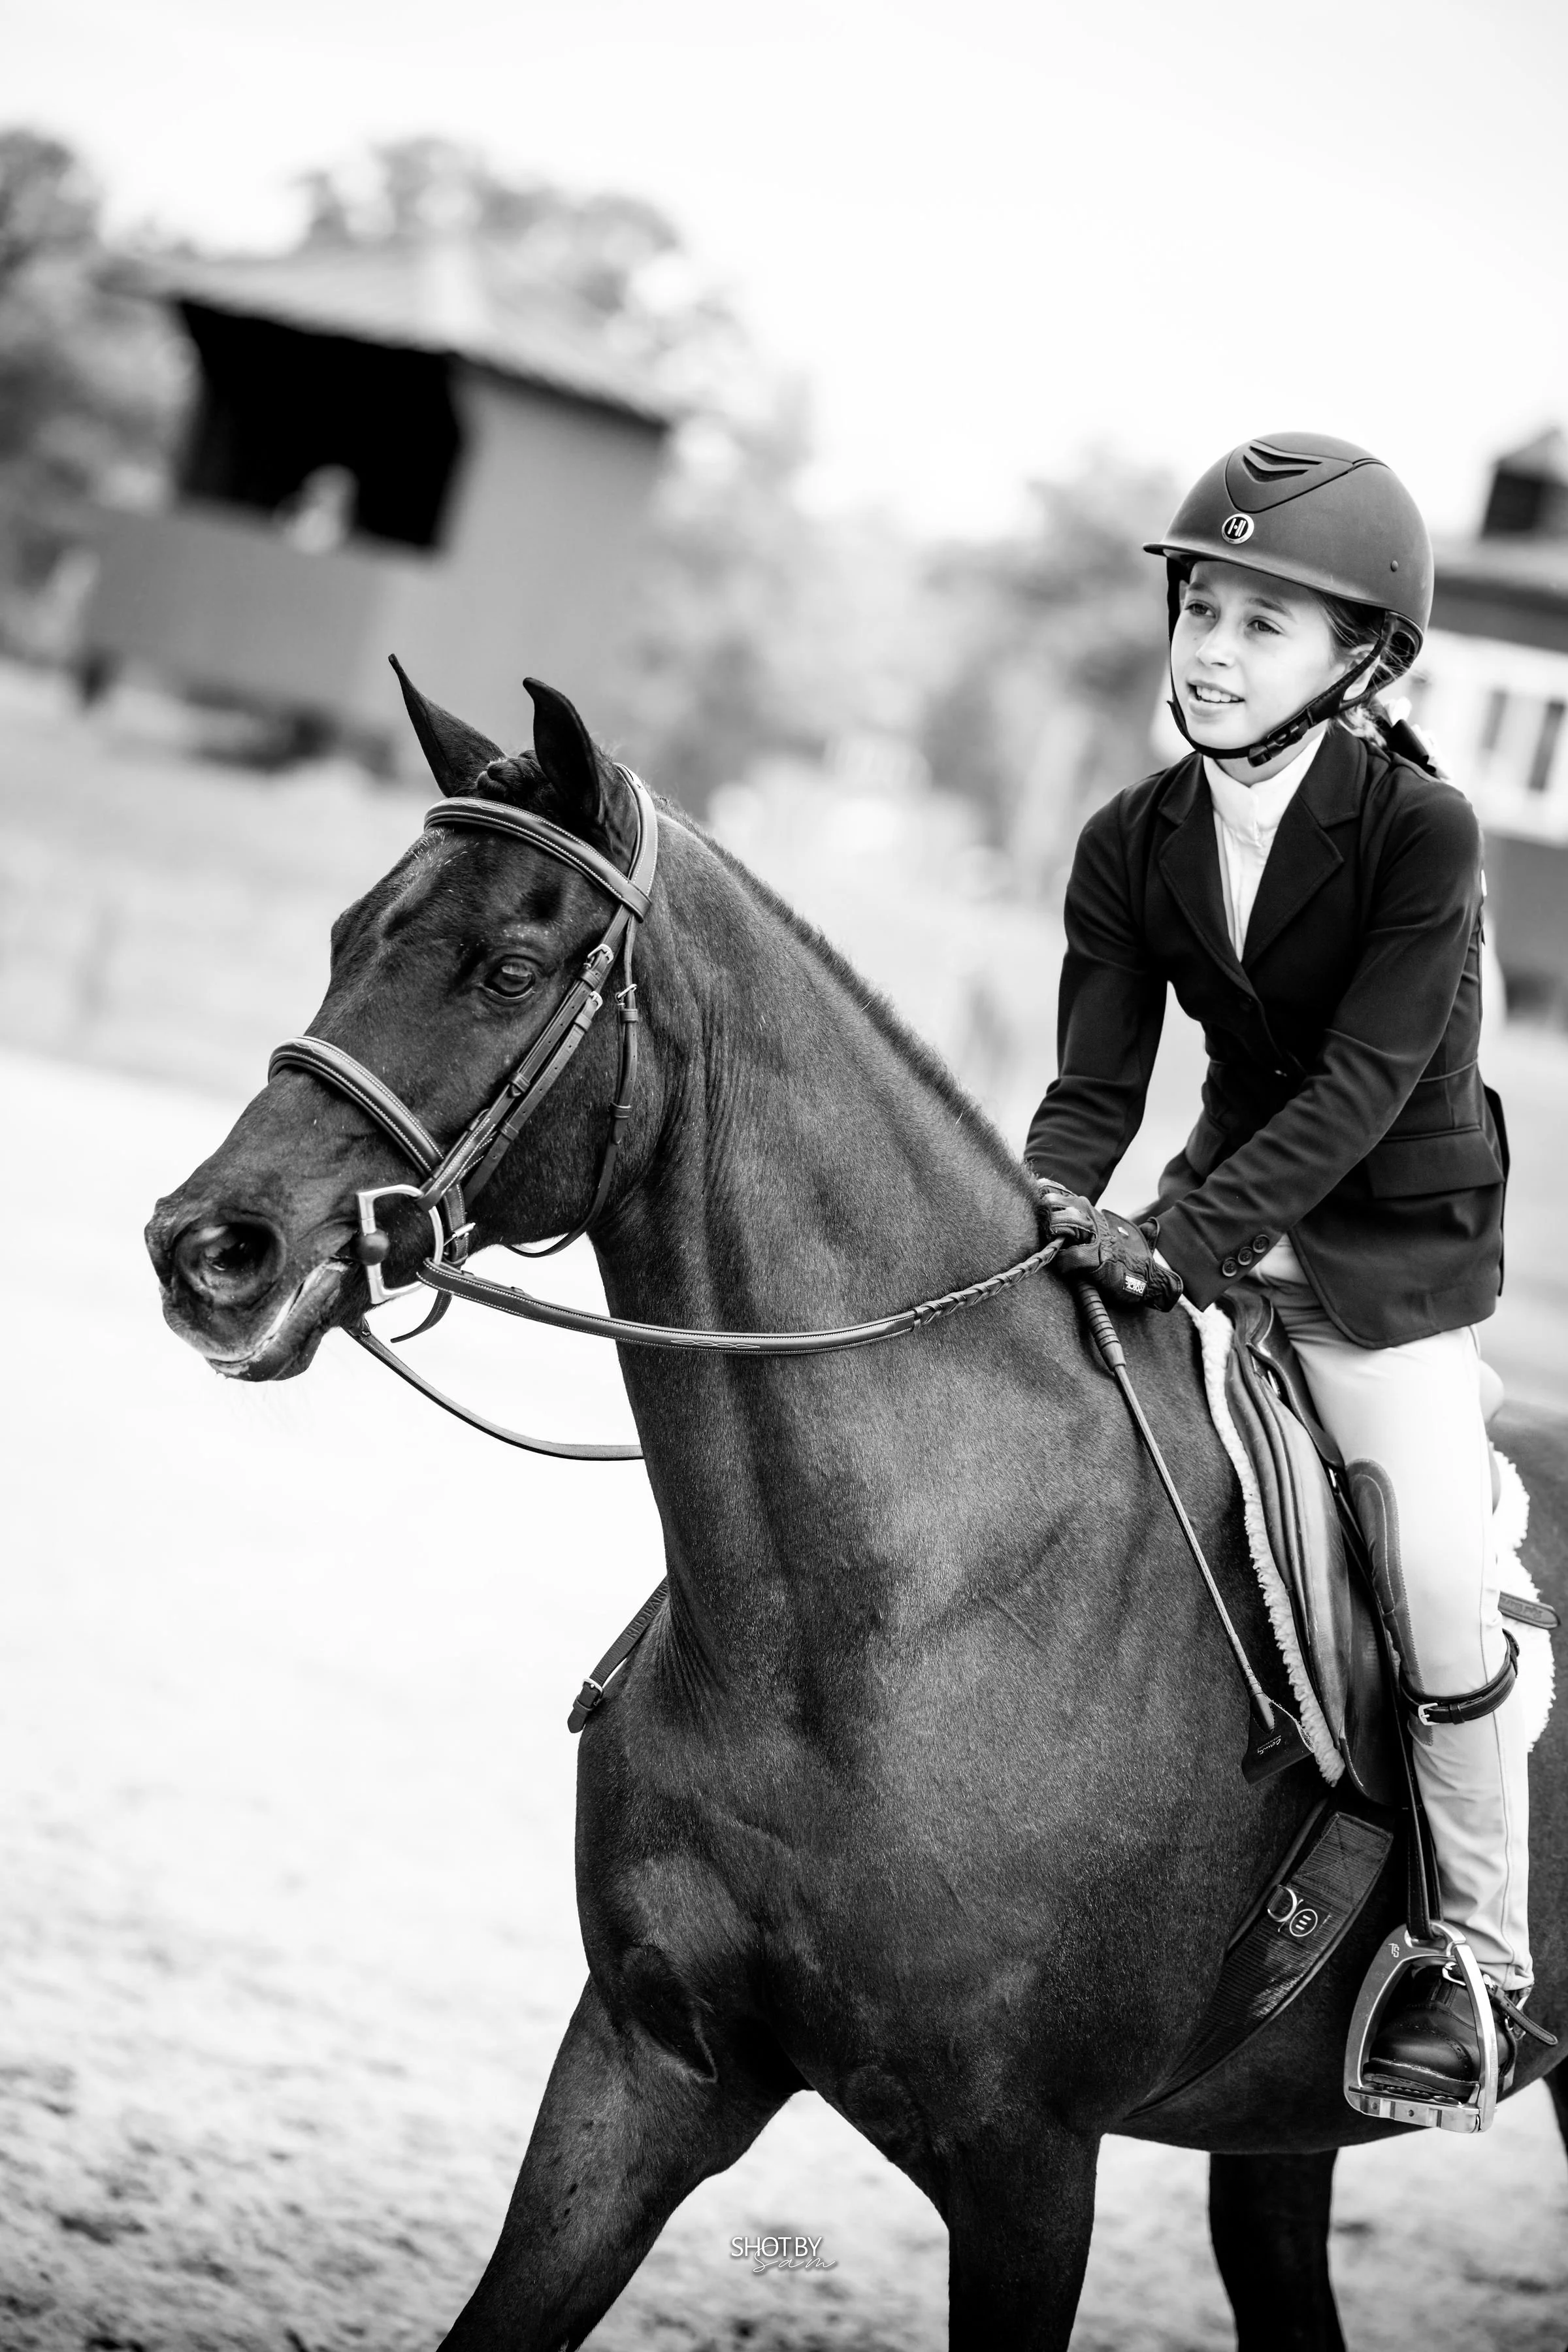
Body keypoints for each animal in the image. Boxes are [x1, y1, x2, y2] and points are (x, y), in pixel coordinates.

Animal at [145, 672, 1568, 2351]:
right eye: (350, 934)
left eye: (508, 970)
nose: (207, 1247)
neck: (882, 1610)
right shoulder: (643, 2066)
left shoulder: (1028, 2167)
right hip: (1276, 2132)